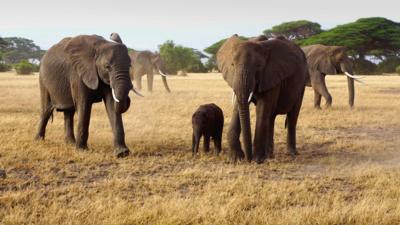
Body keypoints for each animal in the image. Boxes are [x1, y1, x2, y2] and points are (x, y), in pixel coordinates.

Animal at [217, 34, 308, 163]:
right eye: (232, 65)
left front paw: (257, 160)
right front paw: (235, 159)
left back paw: (291, 153)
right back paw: (270, 155)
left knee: (292, 116)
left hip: (302, 82)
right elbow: (238, 107)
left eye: (259, 66)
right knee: (271, 117)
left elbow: (262, 107)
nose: (248, 158)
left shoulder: (272, 76)